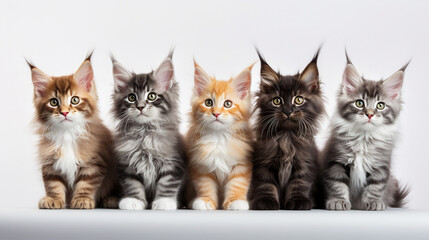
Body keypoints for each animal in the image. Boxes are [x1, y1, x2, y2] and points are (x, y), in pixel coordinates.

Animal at [28, 52, 118, 208]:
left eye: (75, 100)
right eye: (54, 102)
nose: (64, 112)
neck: (67, 134)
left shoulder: (93, 162)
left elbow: (86, 183)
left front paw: (82, 199)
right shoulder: (50, 162)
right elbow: (53, 184)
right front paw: (53, 199)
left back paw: (111, 200)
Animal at [111, 52, 185, 210]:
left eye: (151, 96)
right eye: (131, 97)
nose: (140, 106)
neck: (144, 132)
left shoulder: (173, 162)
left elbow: (167, 183)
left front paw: (164, 202)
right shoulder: (128, 164)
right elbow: (133, 184)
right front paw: (133, 200)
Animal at [187, 60, 254, 210]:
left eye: (228, 103)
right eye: (208, 102)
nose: (216, 113)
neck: (218, 138)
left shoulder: (242, 164)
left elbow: (237, 183)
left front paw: (236, 201)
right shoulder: (202, 166)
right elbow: (206, 185)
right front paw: (205, 201)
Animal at [249, 48, 322, 210]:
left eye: (298, 99)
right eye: (277, 101)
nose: (288, 111)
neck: (286, 137)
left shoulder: (304, 162)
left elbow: (299, 183)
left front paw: (298, 201)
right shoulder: (263, 162)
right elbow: (266, 184)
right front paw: (266, 202)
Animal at [320, 53, 408, 210]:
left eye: (380, 105)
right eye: (359, 103)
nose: (370, 114)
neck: (364, 139)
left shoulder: (380, 166)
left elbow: (375, 187)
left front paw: (373, 203)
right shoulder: (336, 161)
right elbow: (337, 184)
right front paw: (338, 201)